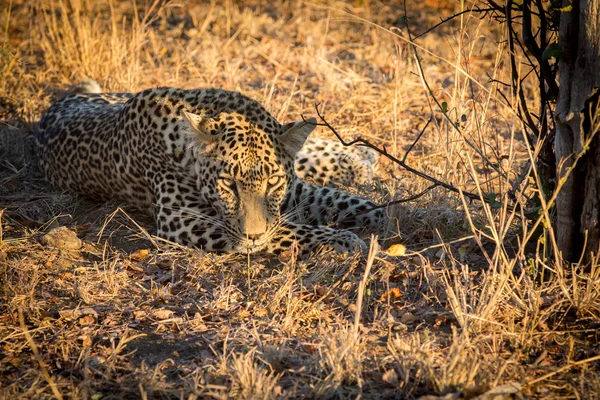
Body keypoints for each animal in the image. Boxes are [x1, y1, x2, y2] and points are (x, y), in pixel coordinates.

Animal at [36, 87, 384, 256]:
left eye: (272, 181)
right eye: (228, 184)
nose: (252, 236)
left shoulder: (294, 190)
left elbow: (341, 200)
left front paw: (386, 216)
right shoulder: (183, 218)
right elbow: (288, 230)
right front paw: (344, 240)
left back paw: (360, 155)